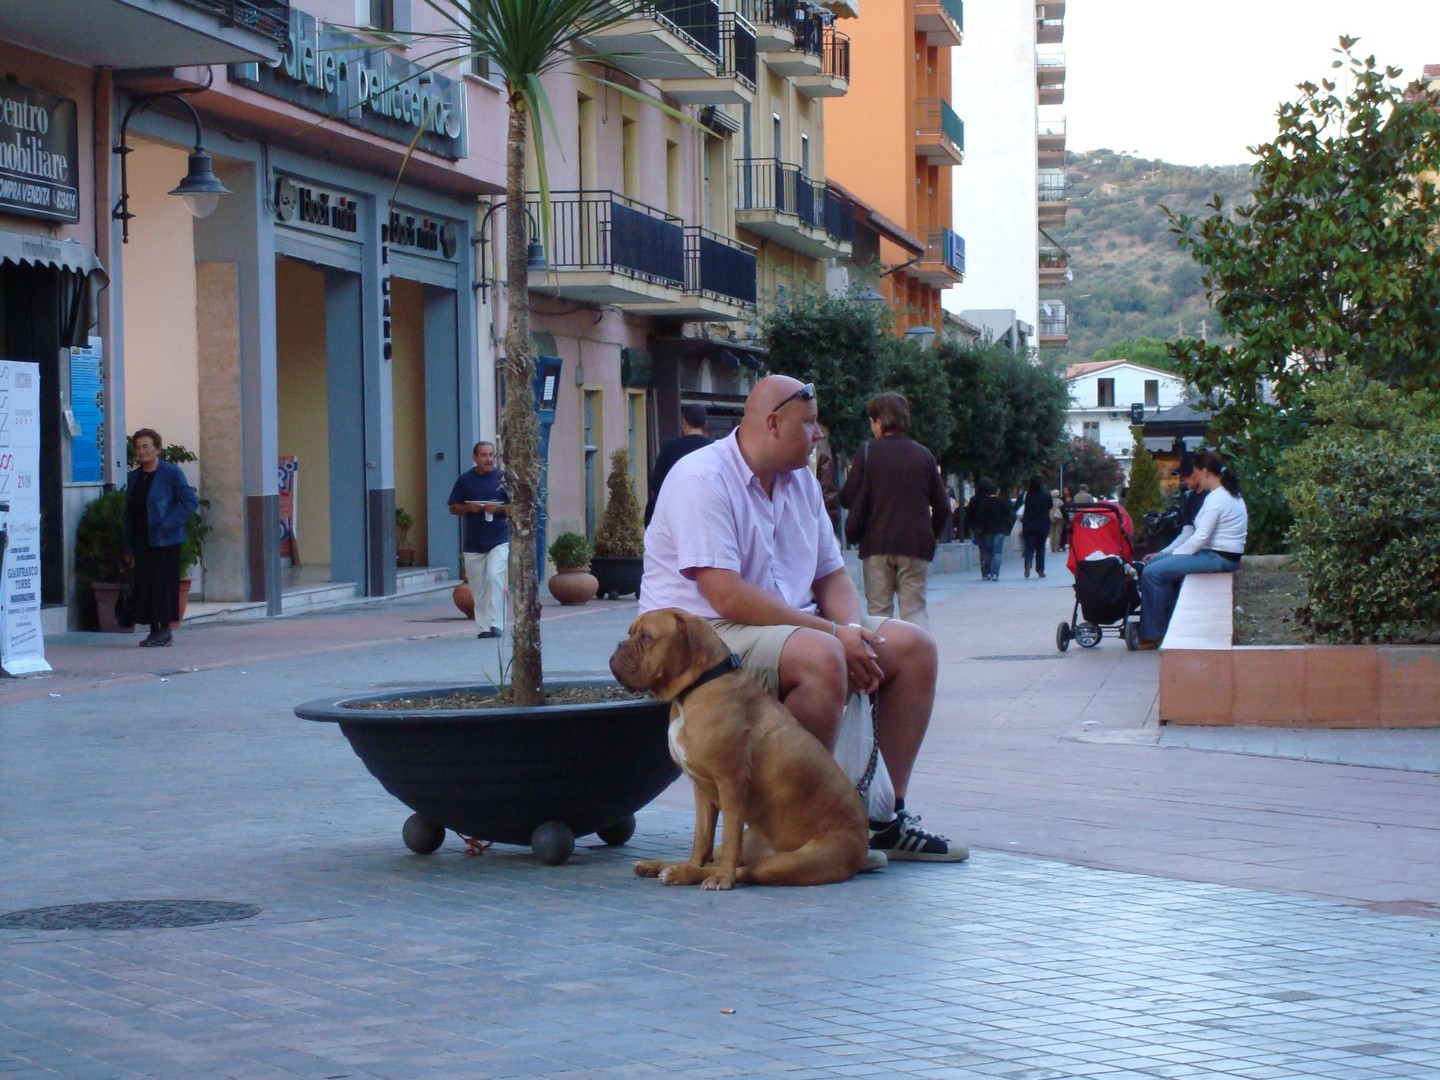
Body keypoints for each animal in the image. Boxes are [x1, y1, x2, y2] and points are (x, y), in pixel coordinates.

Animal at [604, 610, 864, 887]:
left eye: (646, 637)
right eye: (630, 633)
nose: (619, 645)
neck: (697, 687)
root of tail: (864, 844)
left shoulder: (731, 782)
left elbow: (729, 837)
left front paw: (721, 878)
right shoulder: (703, 790)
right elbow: (702, 839)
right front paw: (691, 865)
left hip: (791, 863)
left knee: (745, 869)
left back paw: (689, 873)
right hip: (754, 843)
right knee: (722, 859)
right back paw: (666, 867)